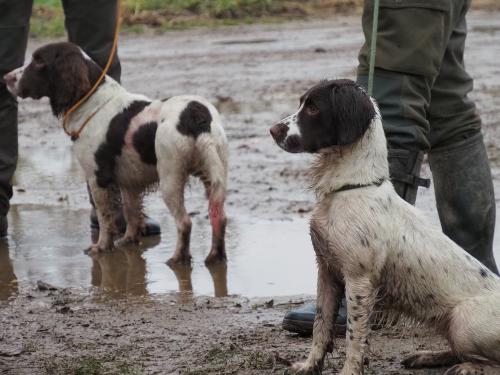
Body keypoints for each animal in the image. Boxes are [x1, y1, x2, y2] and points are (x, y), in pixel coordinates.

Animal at [4, 42, 228, 266]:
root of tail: (197, 114)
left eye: (38, 60)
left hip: (171, 178)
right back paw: (215, 256)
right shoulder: (130, 181)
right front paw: (129, 240)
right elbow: (130, 211)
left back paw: (178, 258)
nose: (6, 78)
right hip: (214, 173)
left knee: (185, 222)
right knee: (219, 216)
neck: (92, 102)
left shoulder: (97, 177)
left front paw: (102, 246)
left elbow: (105, 217)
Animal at [272, 80, 500, 375]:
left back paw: (468, 367)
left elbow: (354, 337)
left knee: (491, 360)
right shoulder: (327, 271)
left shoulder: (359, 280)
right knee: (456, 351)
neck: (350, 187)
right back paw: (428, 356)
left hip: (463, 322)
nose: (273, 130)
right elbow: (320, 326)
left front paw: (349, 370)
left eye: (313, 108)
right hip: (450, 325)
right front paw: (310, 365)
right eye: (302, 102)